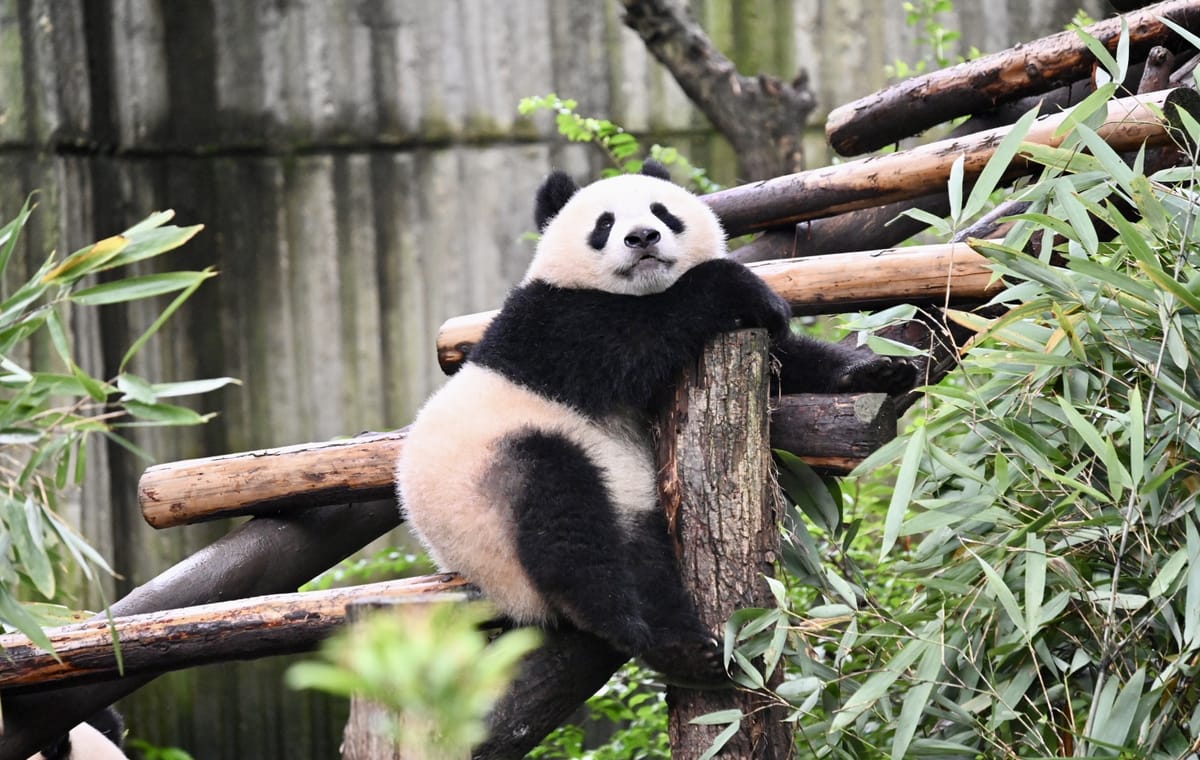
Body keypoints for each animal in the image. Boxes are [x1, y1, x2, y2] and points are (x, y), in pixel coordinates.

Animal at [398, 161, 914, 685]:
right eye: (604, 224)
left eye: (662, 211)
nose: (643, 236)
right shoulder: (554, 325)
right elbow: (638, 336)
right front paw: (751, 291)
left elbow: (786, 364)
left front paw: (877, 370)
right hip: (492, 491)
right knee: (564, 524)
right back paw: (629, 626)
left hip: (628, 507)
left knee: (644, 563)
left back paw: (688, 650)